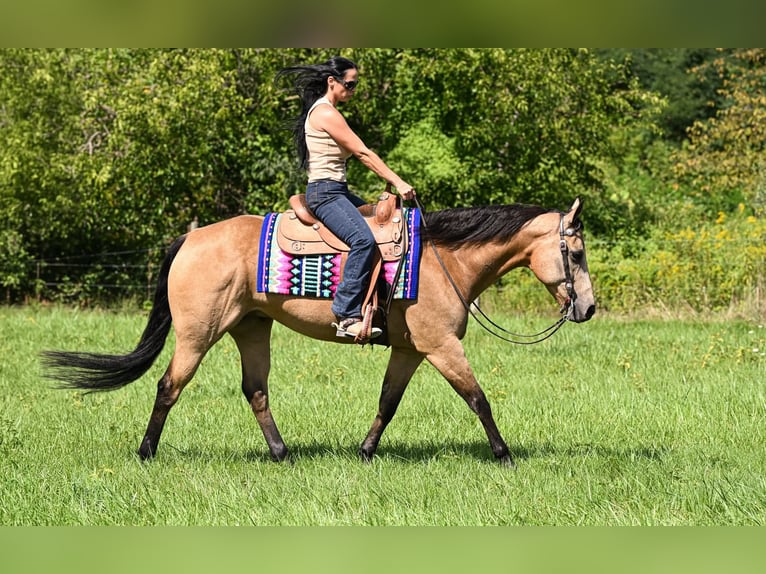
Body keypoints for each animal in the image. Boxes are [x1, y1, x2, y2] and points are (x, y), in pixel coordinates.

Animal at [42, 197, 595, 468]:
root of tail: (190, 238)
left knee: (256, 390)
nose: (588, 308)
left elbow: (387, 403)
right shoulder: (442, 346)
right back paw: (146, 453)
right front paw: (505, 457)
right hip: (198, 336)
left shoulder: (411, 350)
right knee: (169, 386)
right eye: (576, 252)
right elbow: (479, 398)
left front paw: (366, 453)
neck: (444, 259)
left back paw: (282, 455)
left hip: (251, 328)